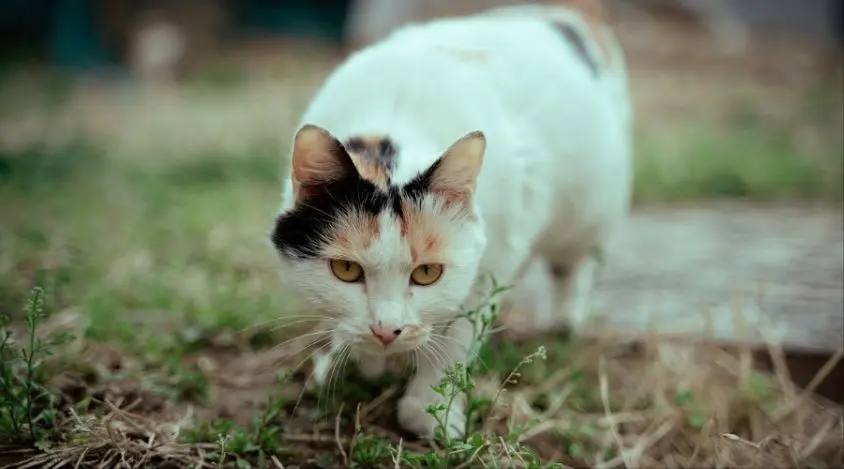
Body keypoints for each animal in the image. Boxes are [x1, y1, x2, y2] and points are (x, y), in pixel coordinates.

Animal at [270, 1, 632, 438]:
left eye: (427, 273)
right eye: (345, 270)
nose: (386, 331)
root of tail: (567, 13)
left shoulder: (490, 264)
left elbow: (453, 341)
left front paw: (430, 414)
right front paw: (360, 362)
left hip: (589, 212)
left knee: (572, 266)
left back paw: (564, 322)